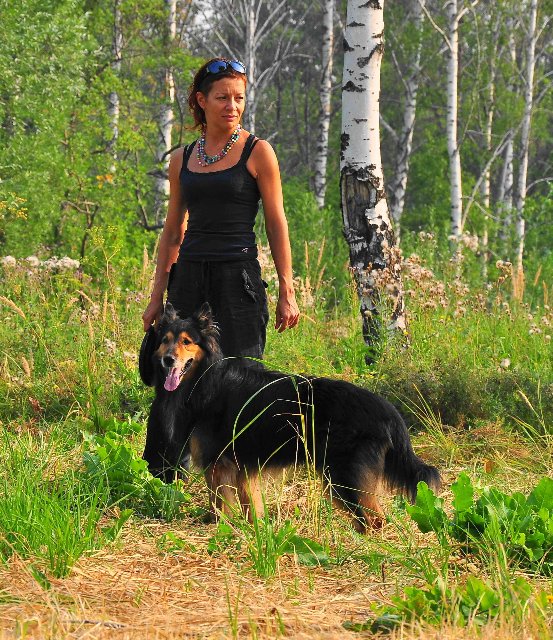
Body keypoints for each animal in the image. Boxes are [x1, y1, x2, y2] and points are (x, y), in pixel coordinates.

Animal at [143, 303, 441, 532]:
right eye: (165, 340)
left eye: (186, 342)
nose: (168, 360)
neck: (206, 378)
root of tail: (387, 409)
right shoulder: (245, 467)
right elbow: (252, 506)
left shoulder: (217, 463)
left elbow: (220, 506)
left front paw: (220, 529)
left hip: (344, 475)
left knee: (375, 519)